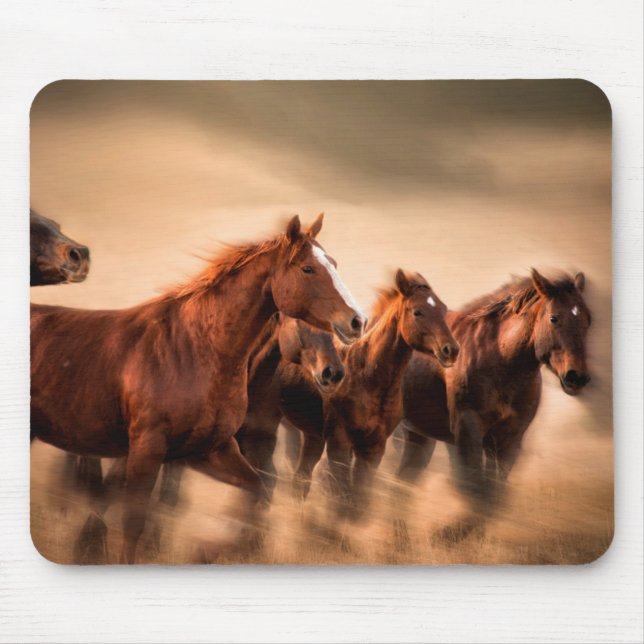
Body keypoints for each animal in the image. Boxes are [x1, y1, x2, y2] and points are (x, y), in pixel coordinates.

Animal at [31, 213, 366, 563]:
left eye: (334, 263)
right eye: (308, 269)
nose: (357, 321)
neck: (194, 348)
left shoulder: (210, 449)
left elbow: (255, 493)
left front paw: (207, 550)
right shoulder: (148, 450)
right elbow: (134, 519)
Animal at [280, 269, 459, 520]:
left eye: (442, 309)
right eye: (417, 311)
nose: (451, 350)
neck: (369, 379)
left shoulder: (373, 447)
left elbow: (359, 499)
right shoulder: (340, 442)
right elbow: (342, 495)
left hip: (312, 435)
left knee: (300, 479)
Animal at [395, 269, 592, 543]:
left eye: (587, 320)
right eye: (554, 318)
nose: (577, 377)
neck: (501, 360)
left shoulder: (509, 440)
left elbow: (494, 496)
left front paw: (455, 536)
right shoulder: (468, 432)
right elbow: (476, 489)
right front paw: (445, 535)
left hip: (418, 436)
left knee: (402, 480)